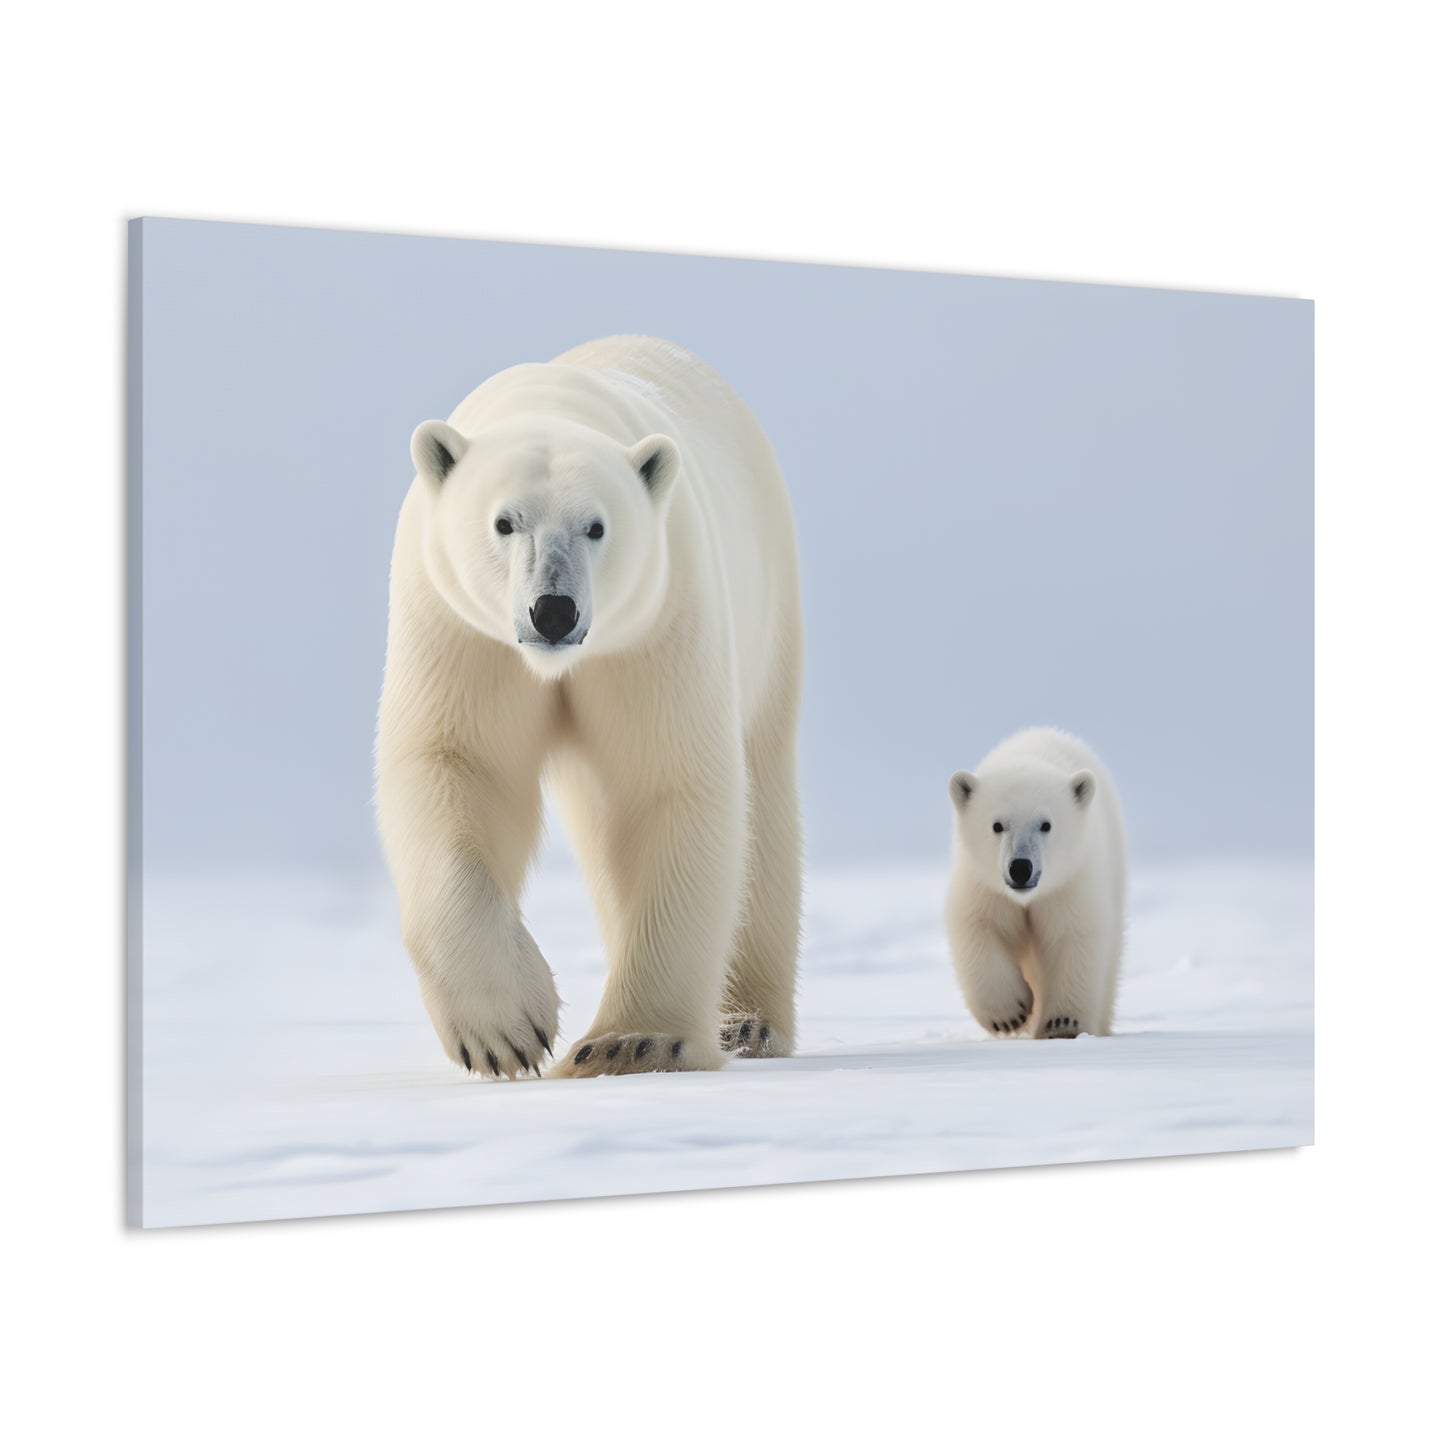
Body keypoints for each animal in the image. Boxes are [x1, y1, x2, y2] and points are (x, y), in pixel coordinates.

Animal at [375, 335, 804, 1079]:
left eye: (597, 526)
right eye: (503, 521)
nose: (553, 610)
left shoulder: (656, 623)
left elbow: (665, 782)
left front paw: (632, 1041)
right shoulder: (458, 630)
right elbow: (455, 765)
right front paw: (504, 1030)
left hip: (768, 606)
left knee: (763, 803)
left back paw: (748, 1022)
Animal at [944, 727, 1127, 1040]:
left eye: (1046, 824)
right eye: (997, 825)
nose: (1020, 868)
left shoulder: (1070, 883)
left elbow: (1072, 936)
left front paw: (1062, 1024)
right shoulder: (983, 884)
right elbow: (979, 926)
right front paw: (1009, 1015)